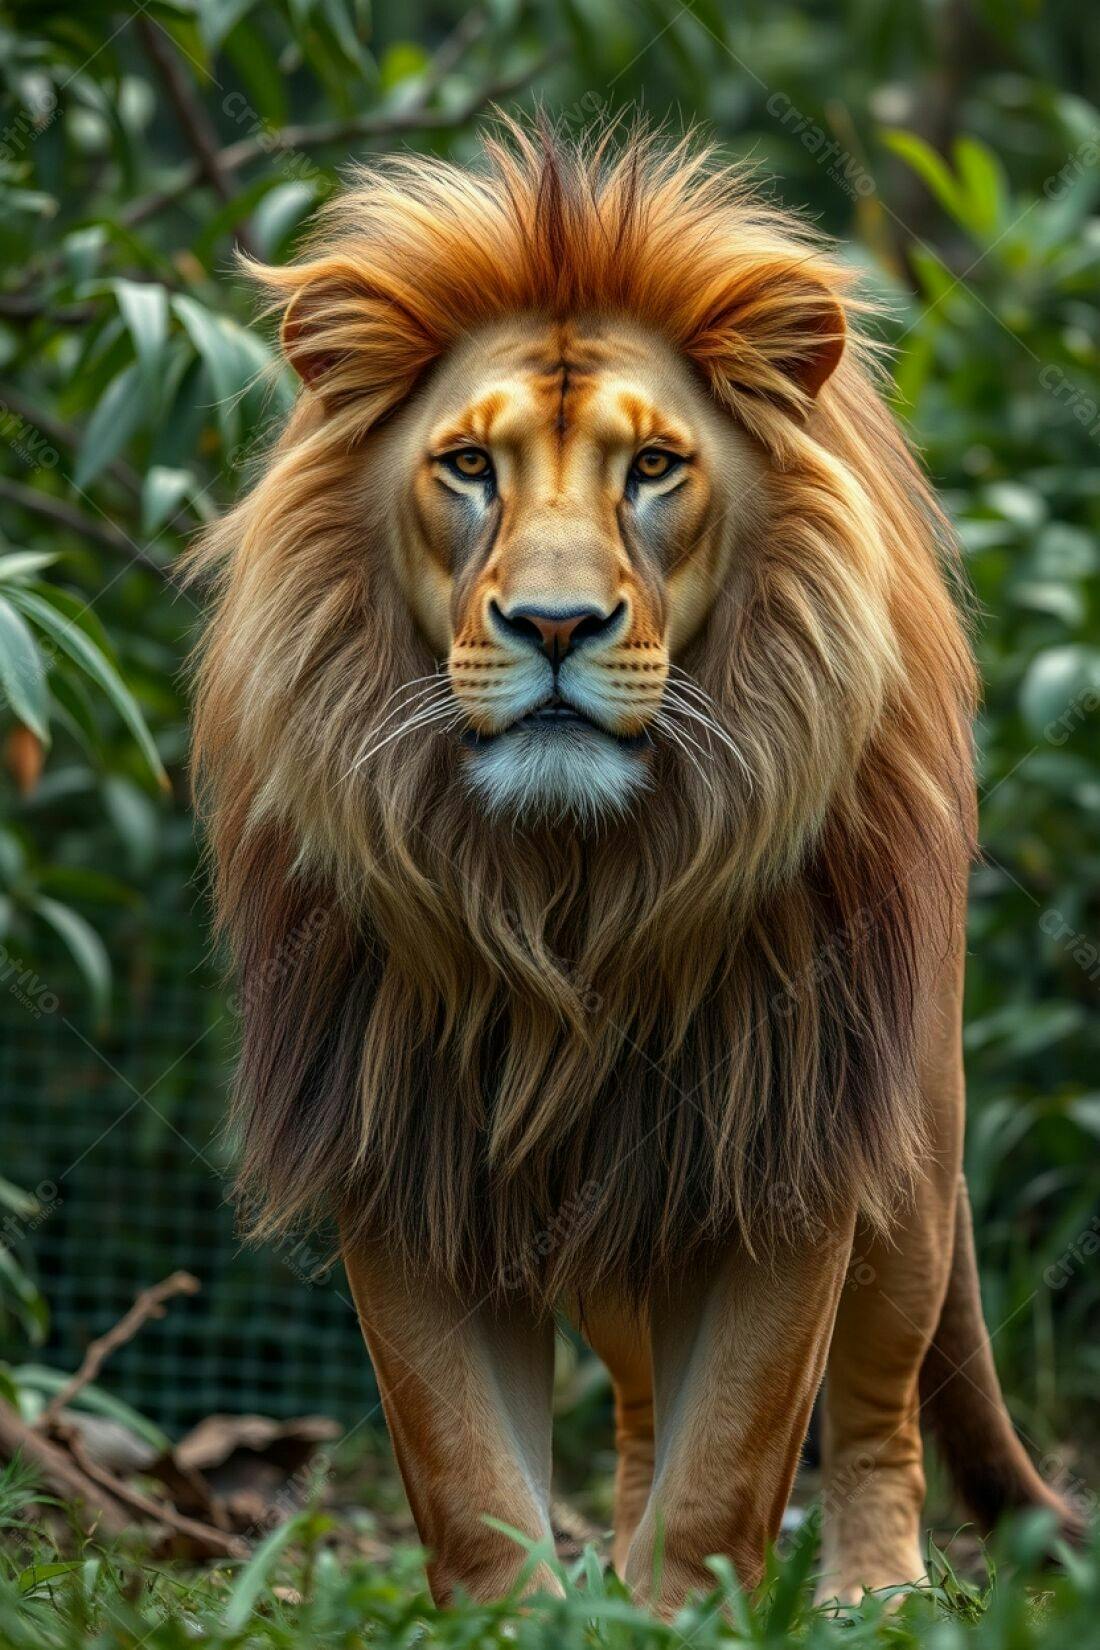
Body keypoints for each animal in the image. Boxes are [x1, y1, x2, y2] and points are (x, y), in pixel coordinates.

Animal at [191, 121, 1080, 1612]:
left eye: (655, 468)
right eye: (468, 468)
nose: (555, 625)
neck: (571, 885)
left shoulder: (784, 1133)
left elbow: (731, 1454)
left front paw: (688, 1613)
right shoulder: (399, 1138)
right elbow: (467, 1472)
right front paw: (530, 1622)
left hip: (912, 1141)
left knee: (878, 1402)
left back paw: (872, 1590)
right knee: (637, 1403)